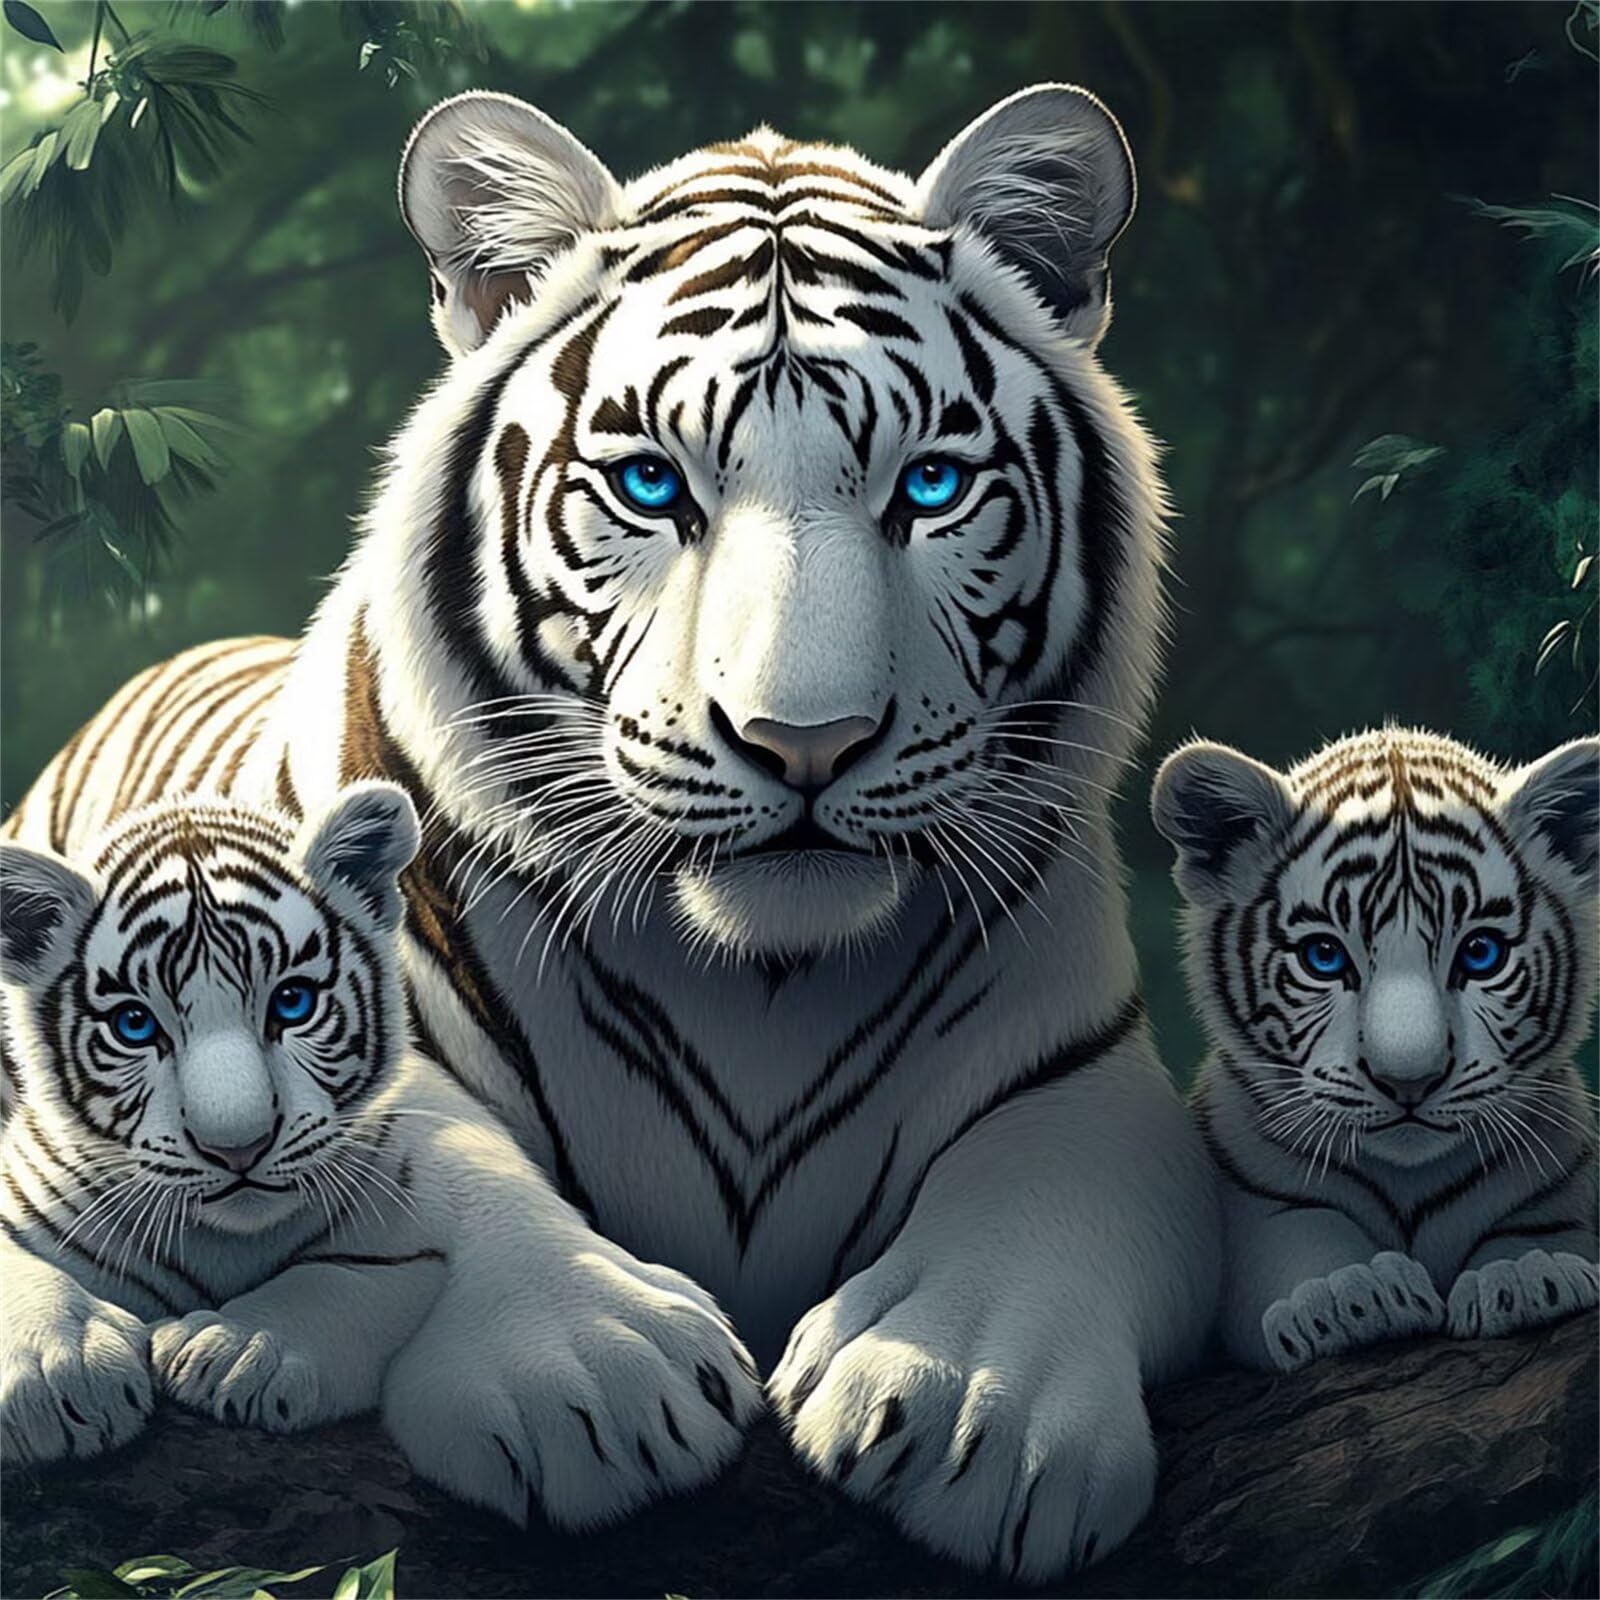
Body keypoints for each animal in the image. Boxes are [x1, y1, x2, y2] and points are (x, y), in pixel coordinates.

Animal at [2, 86, 1218, 1576]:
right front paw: (590, 1371)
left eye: (929, 489)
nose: (803, 740)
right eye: (649, 486)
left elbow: (1053, 1189)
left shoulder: (1090, 1074)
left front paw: (973, 1395)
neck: (765, 982)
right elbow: (447, 1171)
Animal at [1151, 727, 1598, 1373]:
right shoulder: (1253, 1205)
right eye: (1323, 957)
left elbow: (1538, 1233)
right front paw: (1351, 1297)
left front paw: (1527, 1275)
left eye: (1481, 953)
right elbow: (1300, 1243)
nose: (1409, 1081)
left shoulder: (1559, 1186)